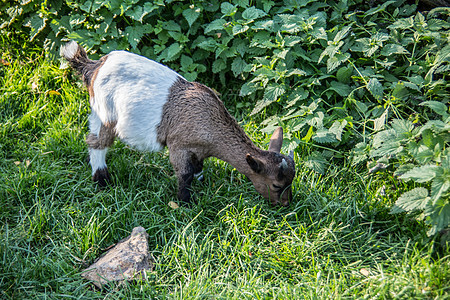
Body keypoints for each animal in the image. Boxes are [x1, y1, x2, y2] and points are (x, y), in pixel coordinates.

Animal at [61, 41, 298, 206]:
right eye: (276, 185)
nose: (285, 204)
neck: (210, 124)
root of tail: (95, 66)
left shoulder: (198, 149)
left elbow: (197, 167)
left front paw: (201, 183)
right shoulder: (178, 145)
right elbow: (184, 173)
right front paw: (186, 202)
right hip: (105, 111)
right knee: (97, 142)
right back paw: (102, 181)